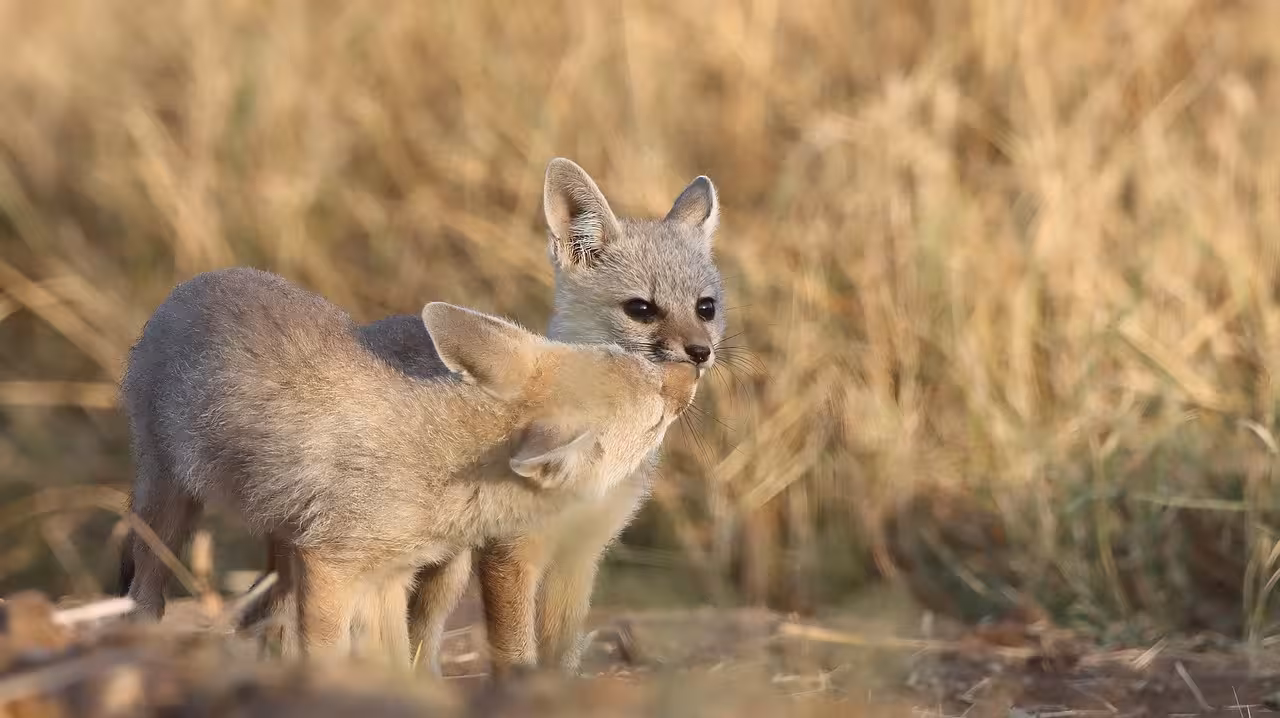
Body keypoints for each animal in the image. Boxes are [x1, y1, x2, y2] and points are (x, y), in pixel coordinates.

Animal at [114, 267, 698, 666]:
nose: (693, 366)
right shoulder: (332, 566)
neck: (438, 459)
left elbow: (398, 663)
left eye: (641, 365)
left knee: (262, 614)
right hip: (168, 511)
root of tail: (195, 281)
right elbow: (328, 656)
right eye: (655, 413)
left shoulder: (390, 578)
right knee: (145, 595)